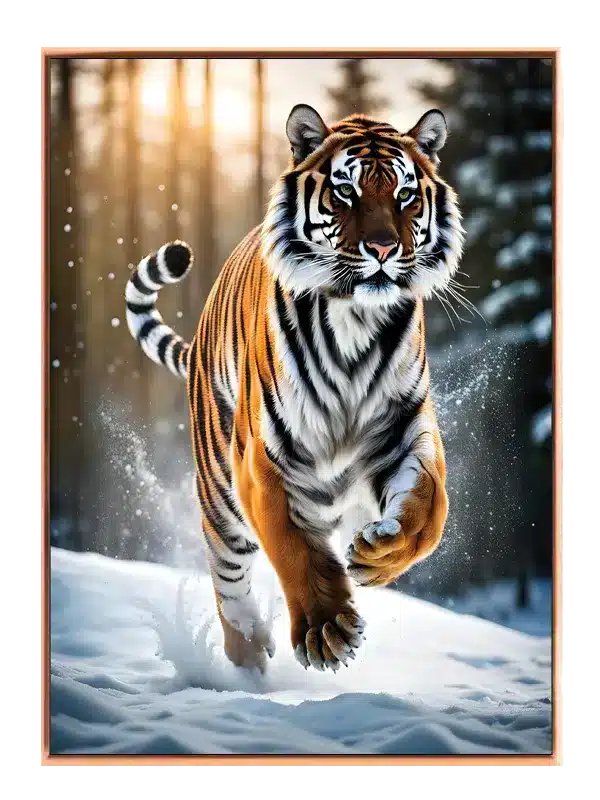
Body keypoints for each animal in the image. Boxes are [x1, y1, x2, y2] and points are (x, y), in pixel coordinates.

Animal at [125, 104, 465, 674]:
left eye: (405, 194)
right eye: (346, 191)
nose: (383, 247)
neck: (355, 320)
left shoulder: (407, 429)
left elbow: (428, 511)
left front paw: (377, 555)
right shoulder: (263, 459)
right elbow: (291, 545)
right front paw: (327, 630)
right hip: (219, 487)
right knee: (228, 570)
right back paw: (247, 656)